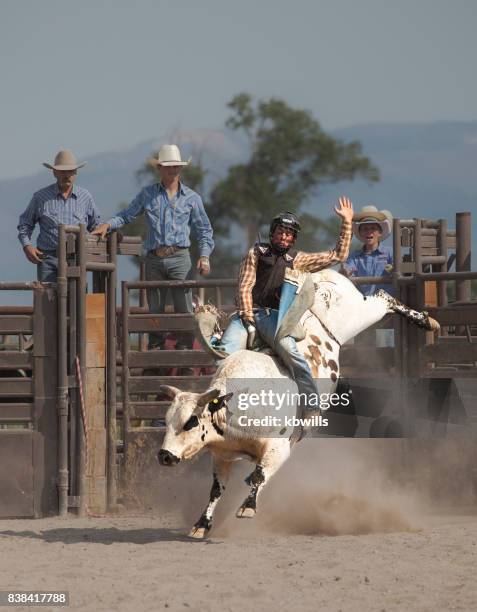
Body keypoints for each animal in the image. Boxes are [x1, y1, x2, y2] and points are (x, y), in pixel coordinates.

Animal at [158, 270, 436, 536]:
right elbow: (216, 490)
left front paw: (248, 507)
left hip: (356, 313)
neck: (236, 405)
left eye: (191, 421)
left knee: (382, 297)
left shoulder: (279, 448)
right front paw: (201, 524)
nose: (164, 456)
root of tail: (317, 278)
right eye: (166, 421)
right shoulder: (221, 456)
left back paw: (425, 320)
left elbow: (259, 475)